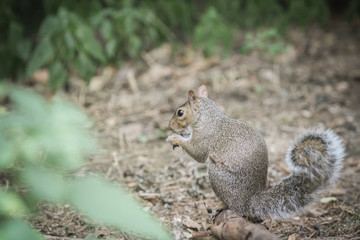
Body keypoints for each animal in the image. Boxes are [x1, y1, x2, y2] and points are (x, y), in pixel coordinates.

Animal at [167, 86, 346, 219]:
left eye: (180, 112)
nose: (169, 126)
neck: (206, 117)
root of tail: (249, 202)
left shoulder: (205, 138)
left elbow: (197, 153)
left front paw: (174, 139)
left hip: (218, 176)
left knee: (233, 205)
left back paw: (220, 205)